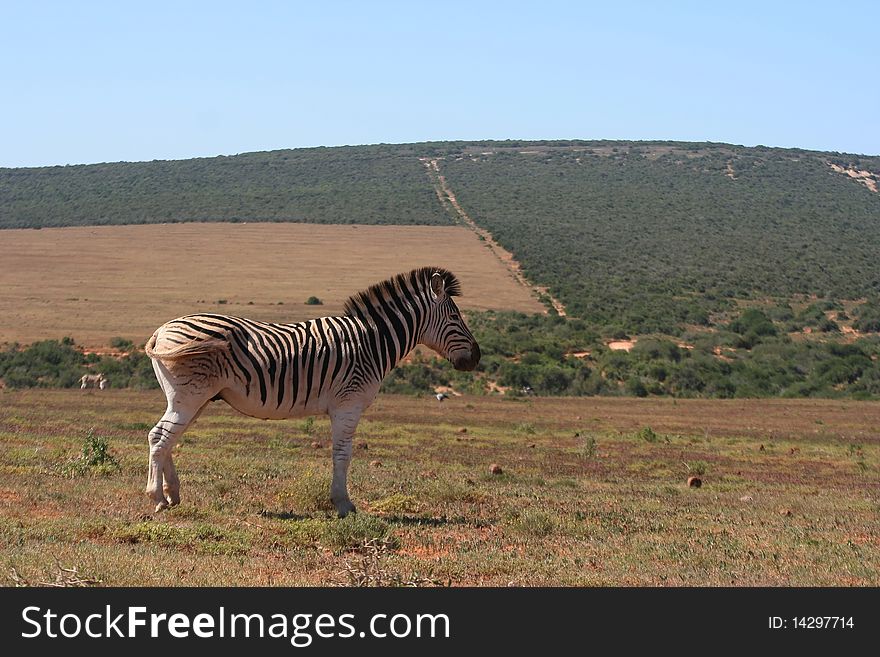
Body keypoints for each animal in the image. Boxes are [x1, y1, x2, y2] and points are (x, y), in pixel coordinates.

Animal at [143, 266, 482, 516]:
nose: (477, 357)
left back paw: (173, 495)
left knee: (168, 438)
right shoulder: (348, 403)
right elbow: (343, 454)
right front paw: (343, 504)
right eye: (455, 317)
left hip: (193, 398)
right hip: (190, 395)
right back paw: (157, 497)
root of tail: (161, 330)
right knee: (159, 437)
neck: (373, 342)